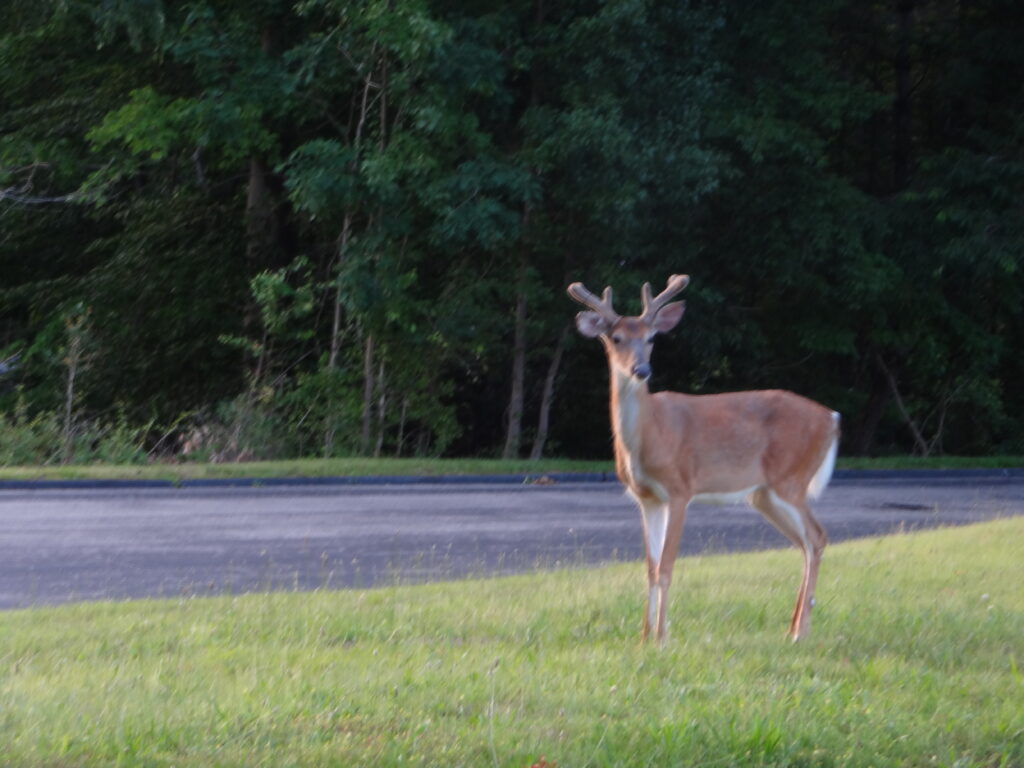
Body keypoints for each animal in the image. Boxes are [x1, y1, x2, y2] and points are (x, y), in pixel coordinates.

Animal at [567, 274, 840, 645]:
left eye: (651, 338)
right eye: (616, 338)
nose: (641, 370)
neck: (650, 434)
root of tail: (832, 418)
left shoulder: (680, 488)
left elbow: (666, 567)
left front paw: (662, 638)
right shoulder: (646, 498)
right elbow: (650, 568)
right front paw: (643, 636)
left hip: (791, 479)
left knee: (818, 536)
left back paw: (801, 632)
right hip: (764, 495)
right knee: (805, 543)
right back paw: (792, 628)